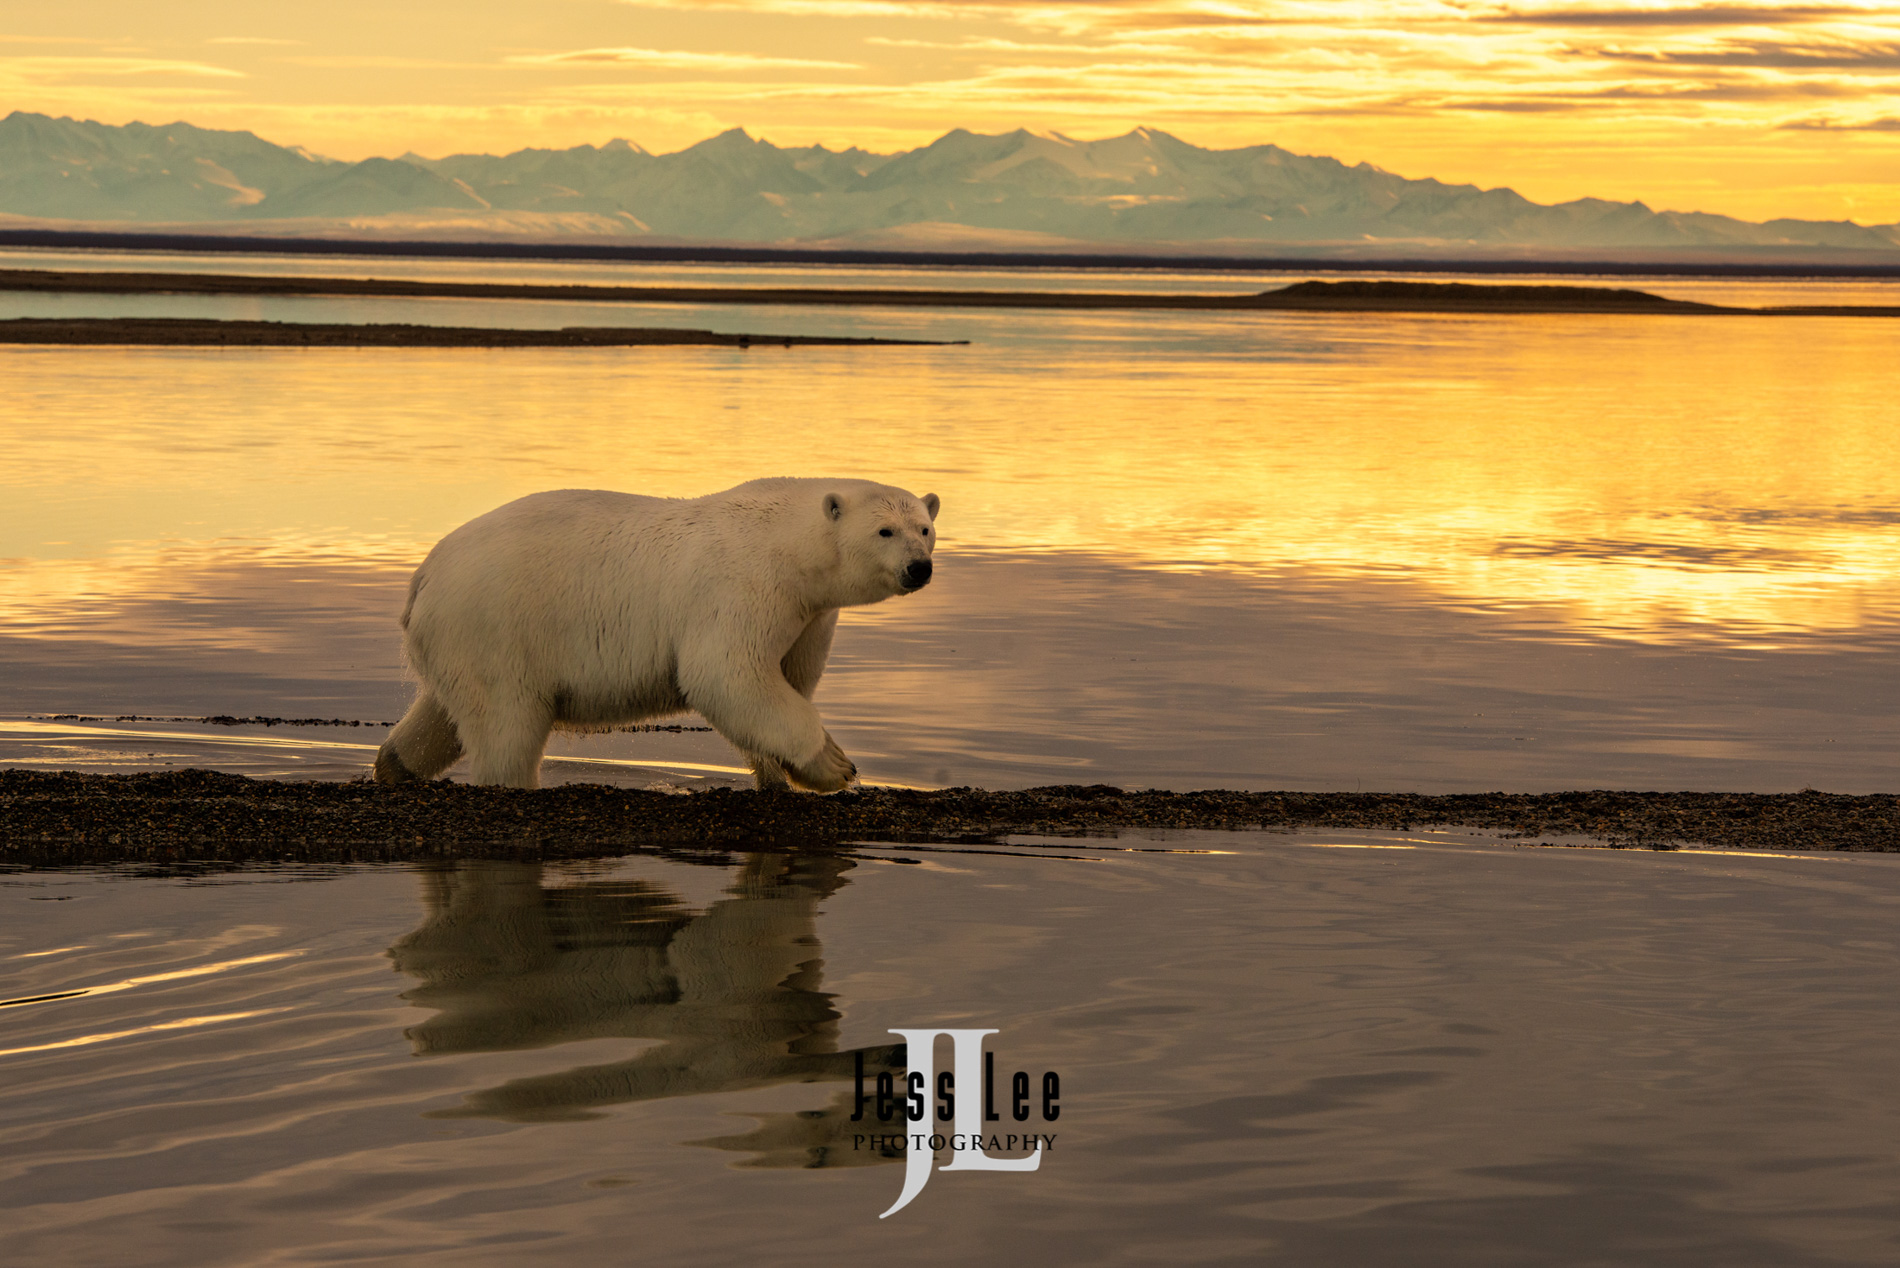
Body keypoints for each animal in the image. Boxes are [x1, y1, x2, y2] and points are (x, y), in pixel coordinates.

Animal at [370, 479, 934, 787]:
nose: (919, 568)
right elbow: (728, 676)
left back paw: (394, 764)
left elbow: (785, 678)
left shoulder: (809, 613)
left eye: (925, 528)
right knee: (506, 726)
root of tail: (423, 577)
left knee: (444, 712)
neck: (790, 545)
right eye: (885, 531)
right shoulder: (740, 587)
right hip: (497, 626)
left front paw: (780, 774)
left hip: (459, 640)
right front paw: (834, 765)